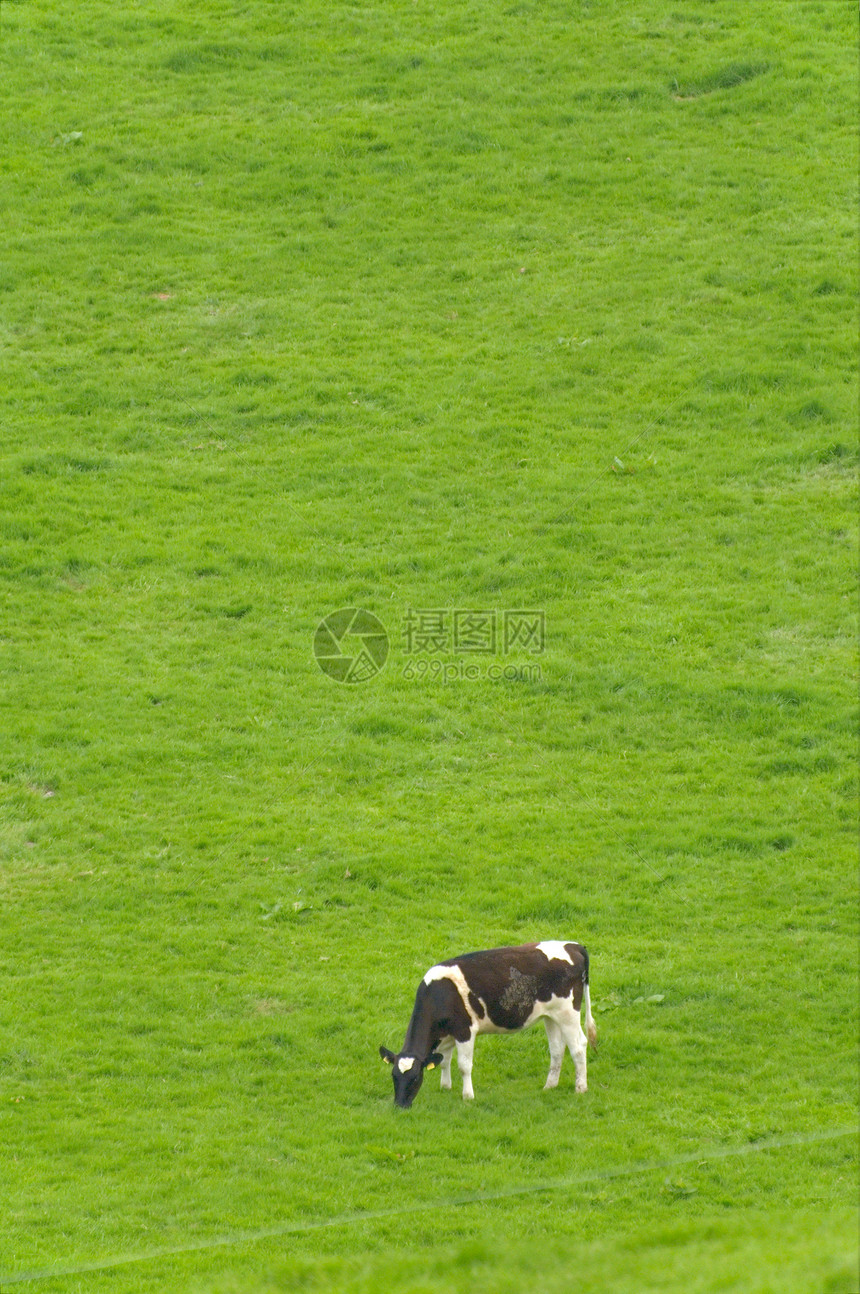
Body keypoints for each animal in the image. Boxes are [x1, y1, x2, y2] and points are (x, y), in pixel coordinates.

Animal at [380, 942, 594, 1112]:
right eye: (393, 1076)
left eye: (416, 1078)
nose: (400, 1105)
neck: (440, 994)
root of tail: (574, 945)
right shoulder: (447, 1034)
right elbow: (444, 1061)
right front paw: (445, 1087)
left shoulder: (464, 1030)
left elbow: (464, 1066)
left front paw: (468, 1096)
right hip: (551, 1015)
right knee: (557, 1049)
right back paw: (550, 1086)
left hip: (568, 1012)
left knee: (578, 1046)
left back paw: (580, 1088)